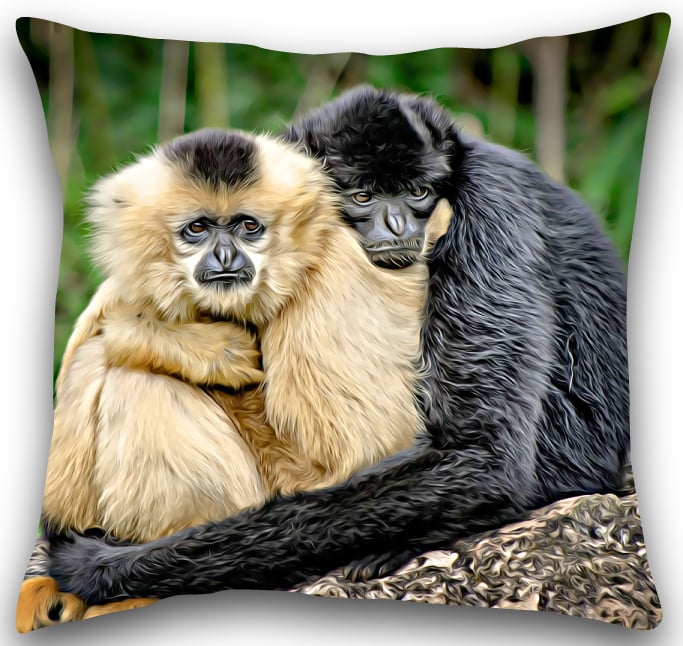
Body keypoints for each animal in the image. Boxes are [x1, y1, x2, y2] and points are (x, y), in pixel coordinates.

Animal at [18, 126, 453, 630]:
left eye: (248, 227)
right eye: (198, 229)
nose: (225, 255)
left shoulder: (333, 278)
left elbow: (358, 458)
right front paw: (202, 346)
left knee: (133, 377)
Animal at [46, 85, 629, 606]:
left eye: (418, 192)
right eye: (364, 196)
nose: (396, 222)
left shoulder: (493, 202)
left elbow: (482, 458)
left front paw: (100, 567)